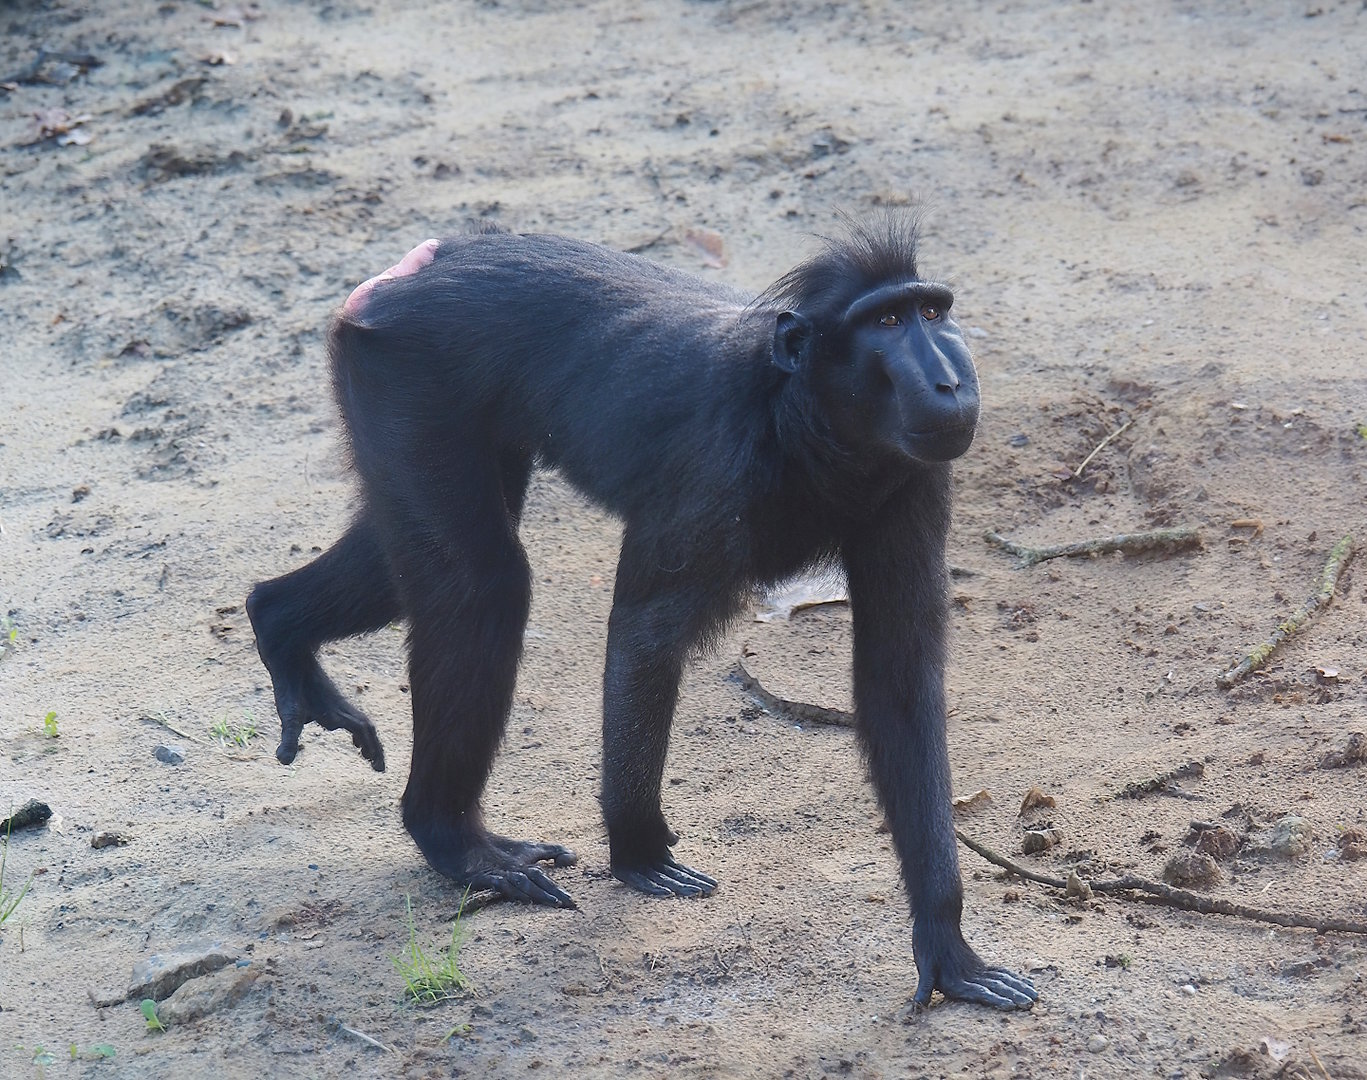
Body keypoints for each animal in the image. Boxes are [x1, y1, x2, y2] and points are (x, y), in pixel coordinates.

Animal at [245, 215, 1037, 1009]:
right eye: (888, 322)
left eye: (932, 311)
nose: (950, 377)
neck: (799, 413)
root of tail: (409, 276)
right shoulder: (713, 471)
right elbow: (644, 636)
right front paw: (636, 848)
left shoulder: (914, 478)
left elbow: (898, 681)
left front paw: (946, 946)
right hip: (402, 381)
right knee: (480, 583)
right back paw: (452, 839)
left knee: (402, 567)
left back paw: (278, 624)